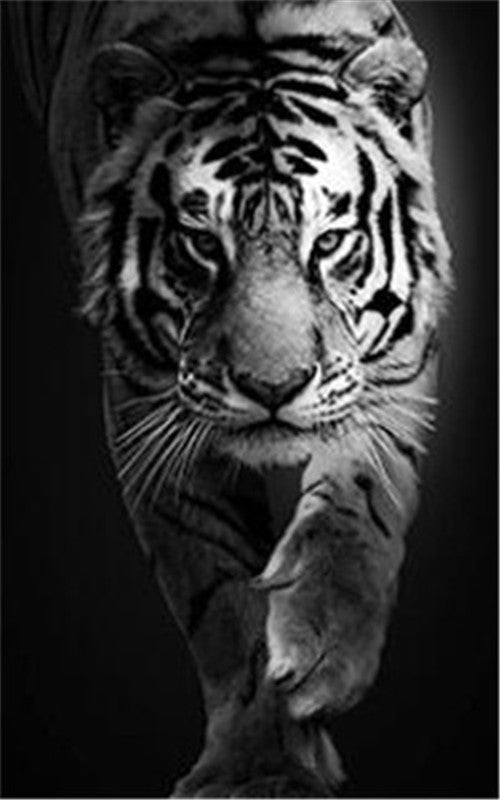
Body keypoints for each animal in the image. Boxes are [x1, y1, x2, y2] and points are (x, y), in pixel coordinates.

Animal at [10, 0, 451, 796]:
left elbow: (362, 491)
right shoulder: (148, 405)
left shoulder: (399, 354)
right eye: (200, 243)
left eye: (329, 242)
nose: (272, 388)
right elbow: (217, 590)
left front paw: (325, 644)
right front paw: (263, 766)